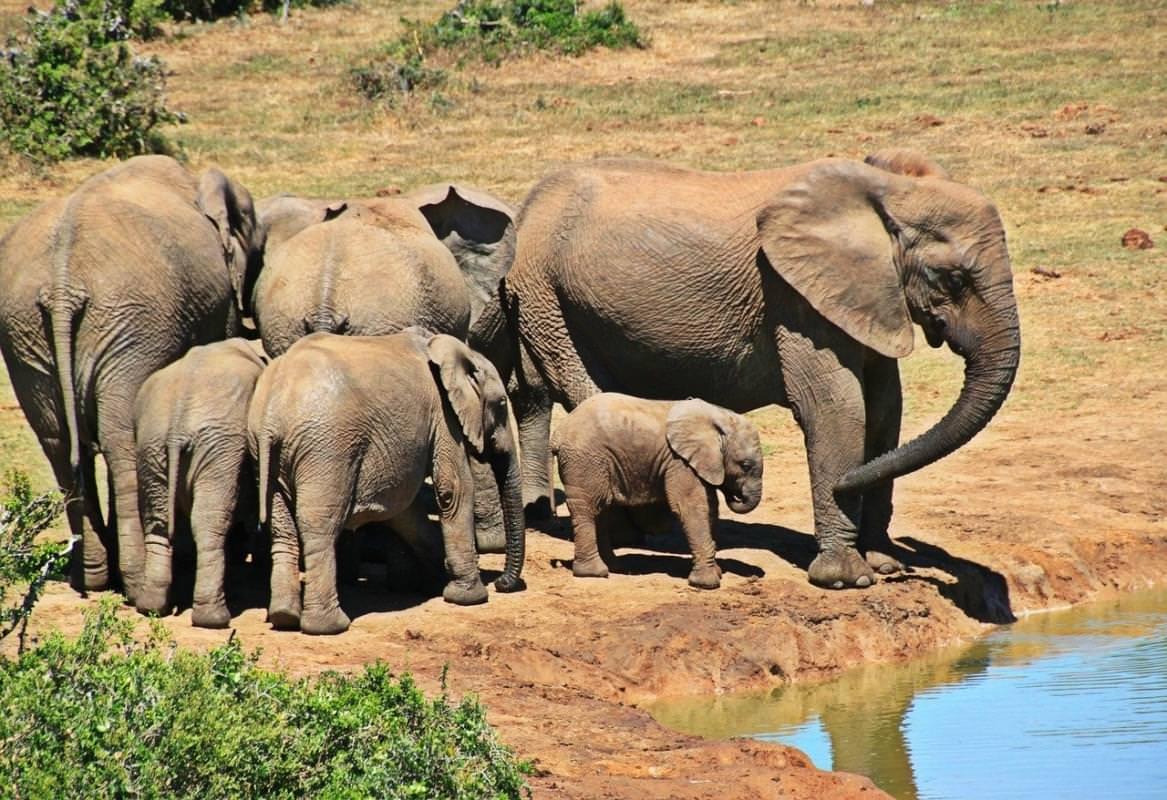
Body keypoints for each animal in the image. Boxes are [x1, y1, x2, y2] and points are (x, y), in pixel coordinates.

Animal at [0, 156, 263, 599]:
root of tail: (62, 287)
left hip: (27, 334)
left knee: (59, 444)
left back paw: (91, 577)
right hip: (132, 325)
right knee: (120, 441)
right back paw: (137, 585)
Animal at [133, 338, 268, 628]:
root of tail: (176, 425)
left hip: (150, 446)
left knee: (158, 522)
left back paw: (151, 607)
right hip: (219, 448)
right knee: (209, 523)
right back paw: (214, 619)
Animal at [247, 329, 525, 635]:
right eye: (502, 405)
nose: (502, 583)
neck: (454, 350)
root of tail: (271, 416)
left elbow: (405, 510)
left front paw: (435, 582)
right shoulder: (443, 415)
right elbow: (453, 490)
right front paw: (469, 597)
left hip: (267, 453)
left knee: (282, 528)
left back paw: (283, 617)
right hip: (327, 450)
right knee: (319, 527)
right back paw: (328, 627)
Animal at [551, 393, 763, 589]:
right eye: (745, 466)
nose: (736, 495)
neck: (719, 417)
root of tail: (559, 433)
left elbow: (710, 508)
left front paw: (717, 572)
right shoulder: (679, 462)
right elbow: (691, 508)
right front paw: (707, 584)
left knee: (601, 509)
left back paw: (614, 567)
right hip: (584, 460)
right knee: (588, 508)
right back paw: (594, 573)